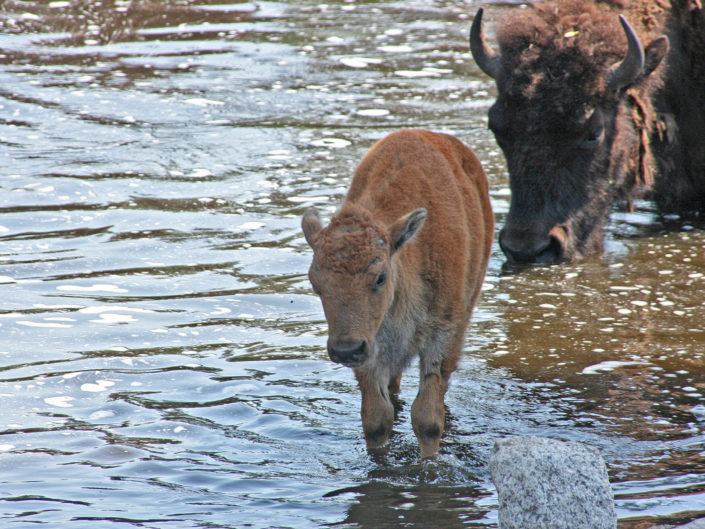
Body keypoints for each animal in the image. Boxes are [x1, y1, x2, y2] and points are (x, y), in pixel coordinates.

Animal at [302, 129, 493, 457]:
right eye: (315, 282)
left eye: (380, 277)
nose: (345, 350)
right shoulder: (372, 346)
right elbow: (376, 420)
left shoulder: (443, 333)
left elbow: (427, 419)